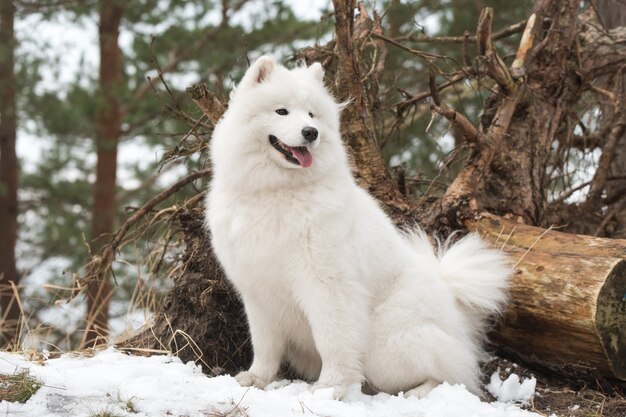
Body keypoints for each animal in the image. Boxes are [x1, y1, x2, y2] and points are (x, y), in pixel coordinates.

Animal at [205, 54, 508, 396]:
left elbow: (333, 339)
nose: (310, 132)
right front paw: (256, 378)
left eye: (311, 114)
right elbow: (265, 344)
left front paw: (331, 387)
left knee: (452, 373)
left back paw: (416, 392)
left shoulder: (327, 284)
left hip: (386, 345)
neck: (276, 191)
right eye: (282, 111)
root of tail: (454, 305)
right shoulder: (258, 292)